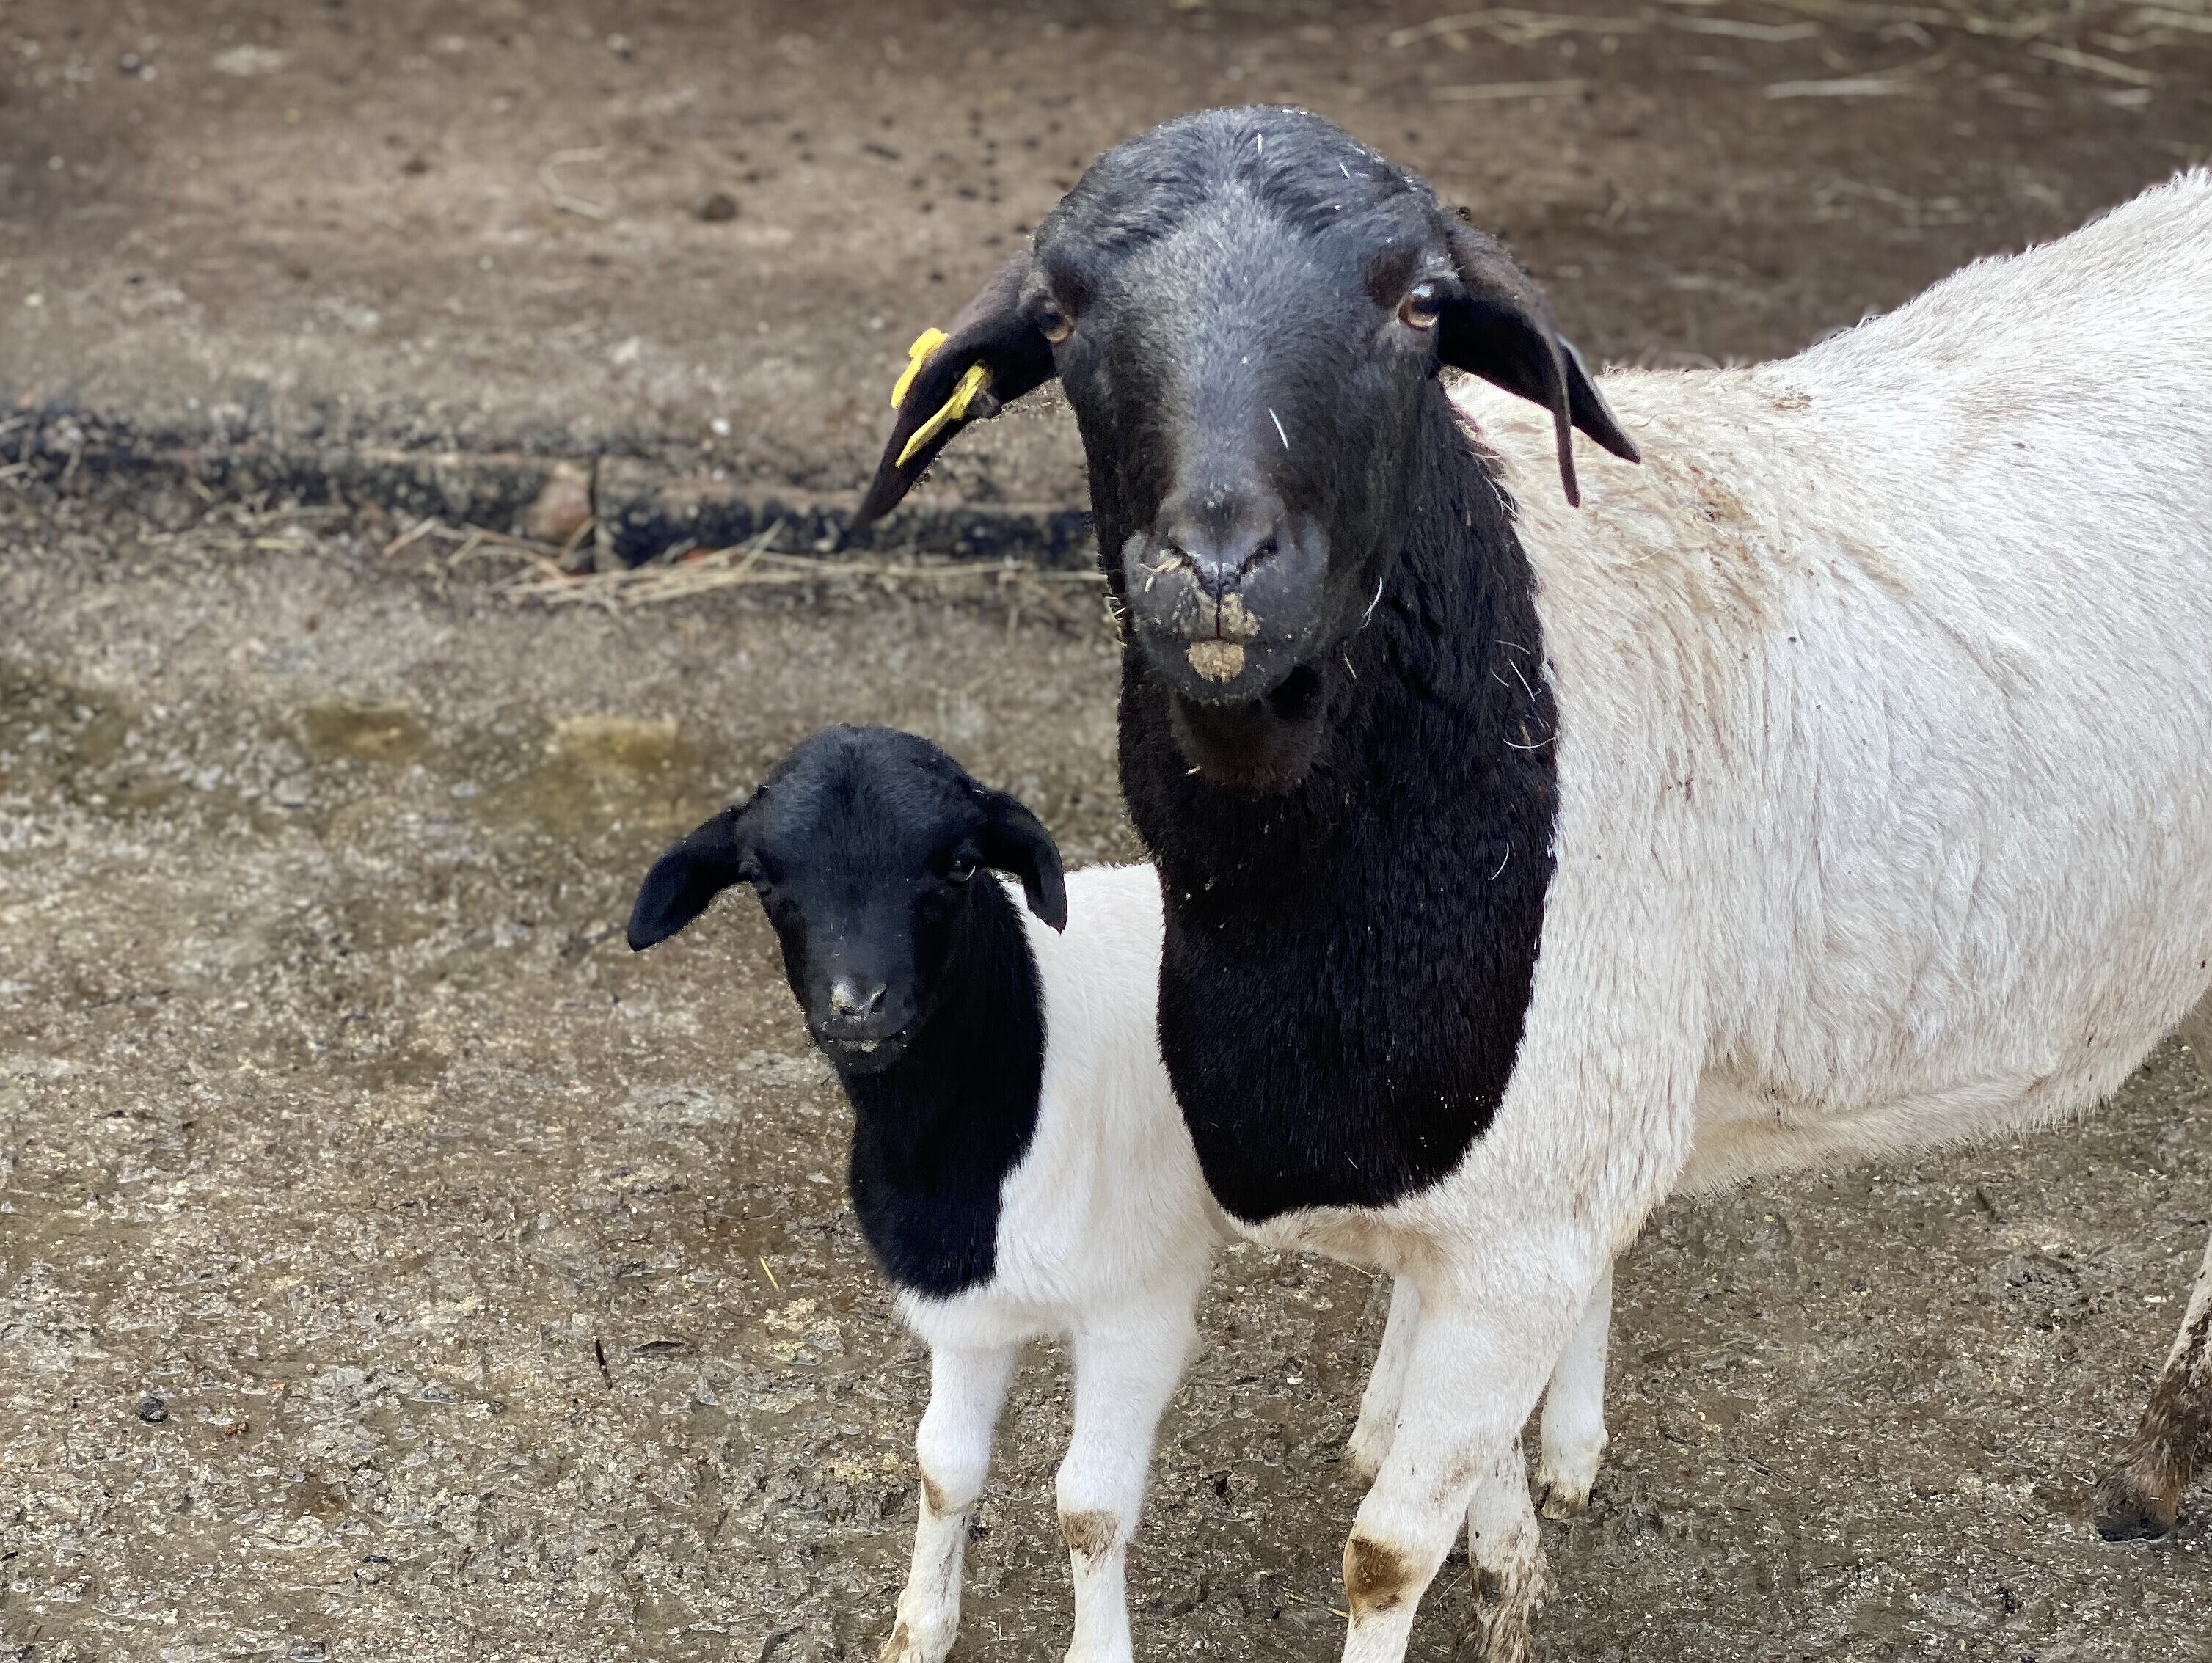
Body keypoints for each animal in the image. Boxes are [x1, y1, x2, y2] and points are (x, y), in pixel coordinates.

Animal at [851, 104, 2212, 1663]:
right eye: (1065, 315)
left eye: (1419, 306)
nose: (1219, 569)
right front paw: (1515, 1541)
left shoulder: (1530, 1215)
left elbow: (1388, 1550)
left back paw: (2158, 1462)